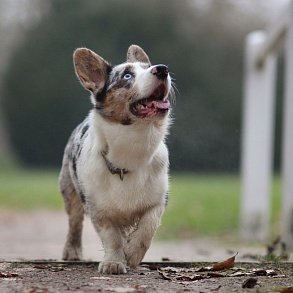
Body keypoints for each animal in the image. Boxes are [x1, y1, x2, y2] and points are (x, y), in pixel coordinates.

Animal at [59, 44, 173, 272]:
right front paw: (113, 262)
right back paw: (72, 252)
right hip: (70, 192)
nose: (162, 69)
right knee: (75, 222)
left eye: (148, 67)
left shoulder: (158, 201)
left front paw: (132, 254)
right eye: (127, 75)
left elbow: (147, 228)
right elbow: (111, 237)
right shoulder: (98, 209)